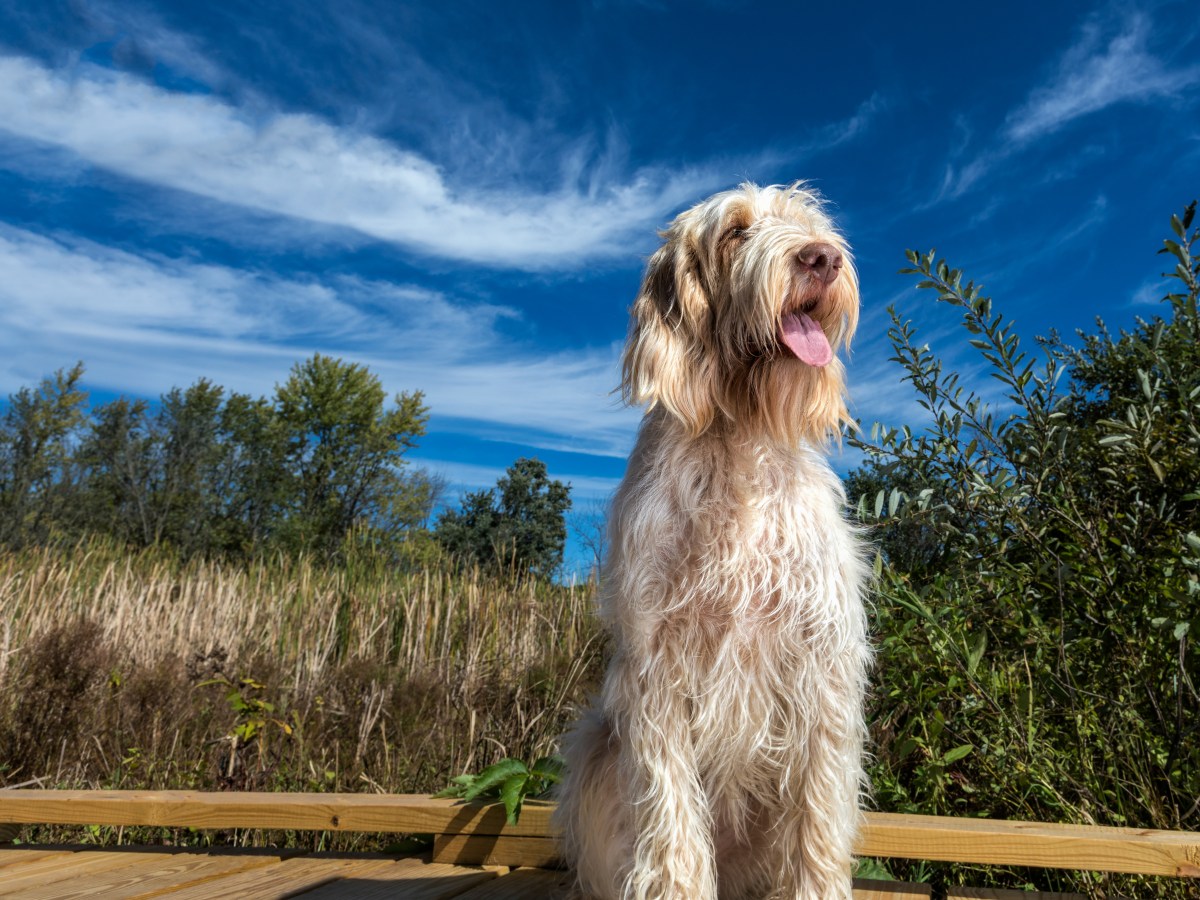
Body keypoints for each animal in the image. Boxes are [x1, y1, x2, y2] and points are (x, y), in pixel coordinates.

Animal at [556, 183, 868, 900]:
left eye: (809, 225)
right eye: (734, 232)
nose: (822, 259)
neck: (739, 438)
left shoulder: (821, 667)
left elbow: (816, 815)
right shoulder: (657, 674)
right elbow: (671, 820)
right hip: (595, 749)